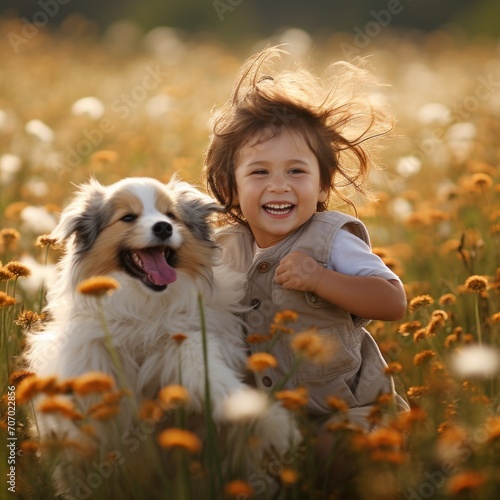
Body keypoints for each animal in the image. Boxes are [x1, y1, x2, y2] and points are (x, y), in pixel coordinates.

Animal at [24, 178, 296, 498]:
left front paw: (248, 407)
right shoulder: (94, 352)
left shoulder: (186, 336)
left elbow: (207, 371)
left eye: (171, 216)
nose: (164, 228)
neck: (146, 307)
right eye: (128, 217)